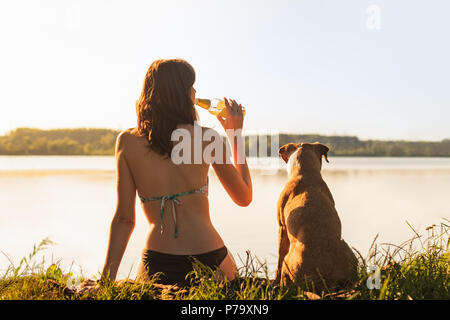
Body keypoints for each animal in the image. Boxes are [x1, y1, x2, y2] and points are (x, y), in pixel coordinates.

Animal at [274, 141, 358, 292]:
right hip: (349, 250)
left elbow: (279, 256)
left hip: (288, 262)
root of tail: (326, 280)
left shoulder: (281, 227)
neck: (305, 173)